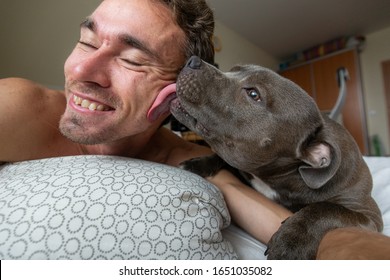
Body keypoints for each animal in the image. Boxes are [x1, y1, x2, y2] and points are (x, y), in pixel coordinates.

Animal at [171, 55, 384, 260]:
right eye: (233, 70)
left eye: (253, 94)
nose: (193, 60)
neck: (280, 176)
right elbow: (223, 158)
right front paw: (198, 164)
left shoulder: (369, 217)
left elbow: (326, 208)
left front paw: (292, 240)